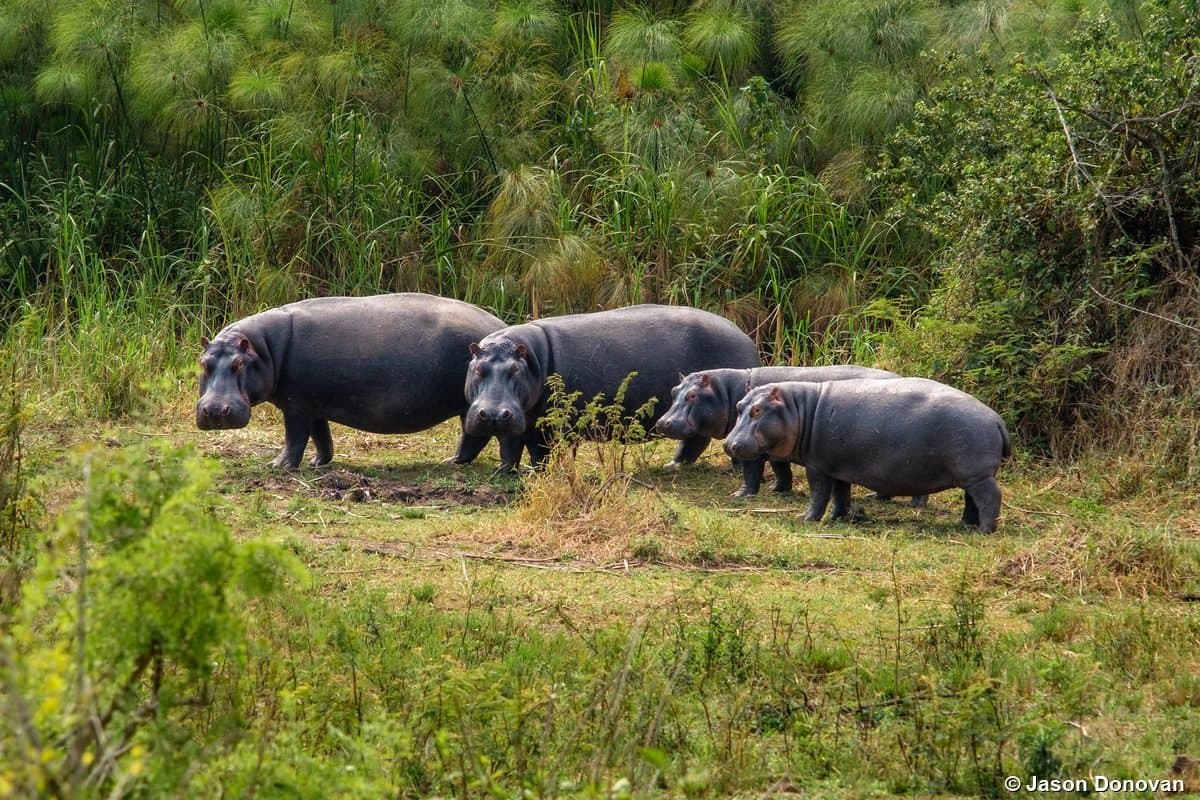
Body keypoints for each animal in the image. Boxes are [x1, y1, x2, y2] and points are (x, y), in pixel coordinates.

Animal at [196, 293, 504, 468]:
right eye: (203, 362)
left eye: (238, 364)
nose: (214, 410)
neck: (262, 350)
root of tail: (500, 325)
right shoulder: (311, 403)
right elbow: (321, 437)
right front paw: (318, 463)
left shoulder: (296, 406)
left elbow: (294, 437)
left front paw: (278, 465)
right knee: (474, 435)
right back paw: (452, 461)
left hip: (469, 403)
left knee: (474, 434)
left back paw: (452, 462)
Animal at [462, 304, 760, 472]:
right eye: (477, 368)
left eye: (515, 370)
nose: (492, 415)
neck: (533, 358)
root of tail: (745, 337)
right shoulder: (529, 419)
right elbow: (519, 450)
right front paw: (519, 472)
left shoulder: (560, 424)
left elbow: (551, 451)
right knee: (695, 439)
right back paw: (672, 466)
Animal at [654, 366, 903, 497]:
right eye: (674, 390)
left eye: (692, 395)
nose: (663, 422)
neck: (726, 391)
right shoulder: (775, 446)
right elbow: (781, 468)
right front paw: (777, 489)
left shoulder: (753, 446)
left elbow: (751, 469)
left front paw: (742, 493)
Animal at [723, 378, 1011, 532]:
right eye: (738, 406)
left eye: (757, 410)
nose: (728, 444)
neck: (800, 409)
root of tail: (996, 419)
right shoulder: (836, 467)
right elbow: (840, 494)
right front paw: (838, 517)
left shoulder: (817, 467)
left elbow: (819, 495)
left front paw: (805, 519)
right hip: (971, 476)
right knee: (972, 500)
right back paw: (965, 525)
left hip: (978, 475)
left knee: (989, 498)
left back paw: (984, 531)